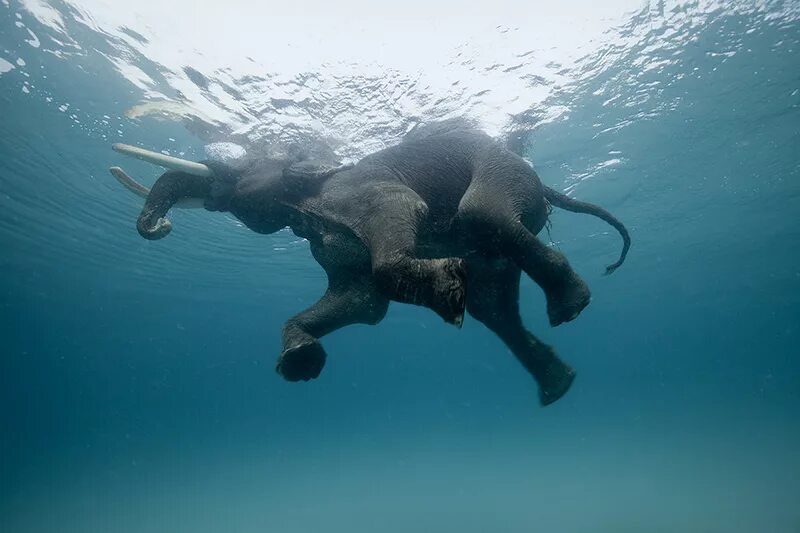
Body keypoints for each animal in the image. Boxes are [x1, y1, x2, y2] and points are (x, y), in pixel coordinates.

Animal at [109, 119, 628, 404]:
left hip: (505, 173)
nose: (161, 226)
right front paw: (299, 364)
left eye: (242, 168)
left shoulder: (361, 193)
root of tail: (546, 186)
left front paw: (448, 290)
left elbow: (396, 223)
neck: (305, 193)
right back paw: (557, 385)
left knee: (482, 214)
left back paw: (569, 306)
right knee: (493, 306)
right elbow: (361, 301)